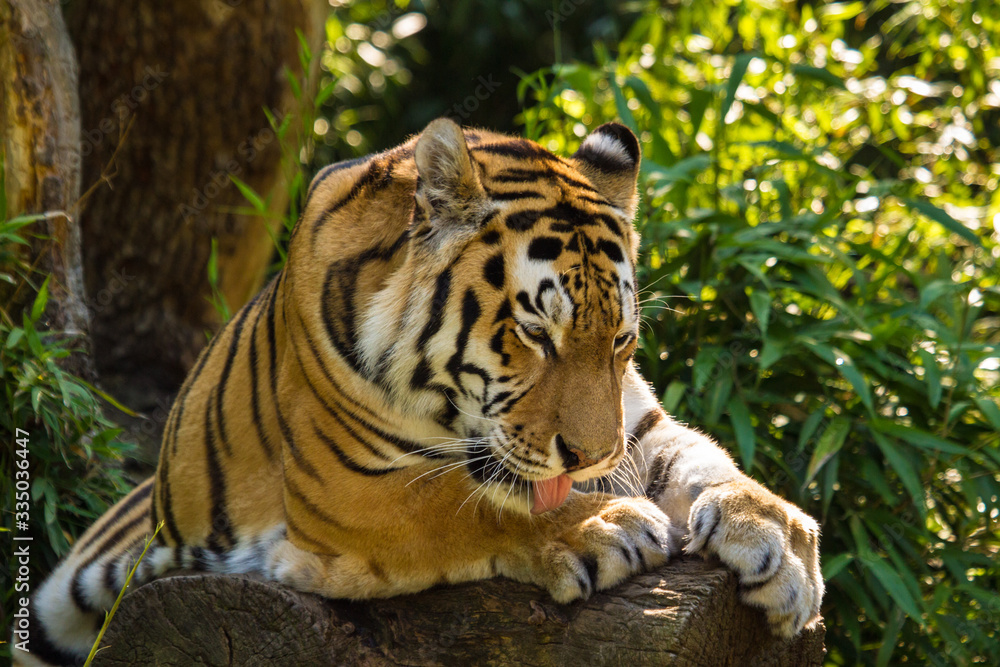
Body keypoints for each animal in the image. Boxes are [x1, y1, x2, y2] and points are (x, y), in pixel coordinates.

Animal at [18, 119, 823, 666]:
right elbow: (467, 506)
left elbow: (705, 460)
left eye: (620, 339)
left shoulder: (634, 420)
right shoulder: (349, 491)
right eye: (537, 333)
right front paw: (607, 525)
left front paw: (779, 544)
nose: (591, 460)